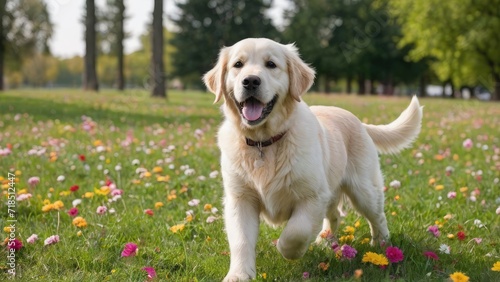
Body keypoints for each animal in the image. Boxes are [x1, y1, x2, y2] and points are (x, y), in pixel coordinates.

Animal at [203, 38, 422, 282]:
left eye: (271, 64)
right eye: (238, 64)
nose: (250, 81)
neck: (264, 142)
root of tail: (359, 121)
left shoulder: (312, 195)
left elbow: (296, 231)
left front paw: (287, 250)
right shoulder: (240, 198)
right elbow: (241, 239)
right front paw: (239, 274)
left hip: (364, 190)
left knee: (378, 217)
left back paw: (382, 247)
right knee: (334, 215)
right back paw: (325, 241)